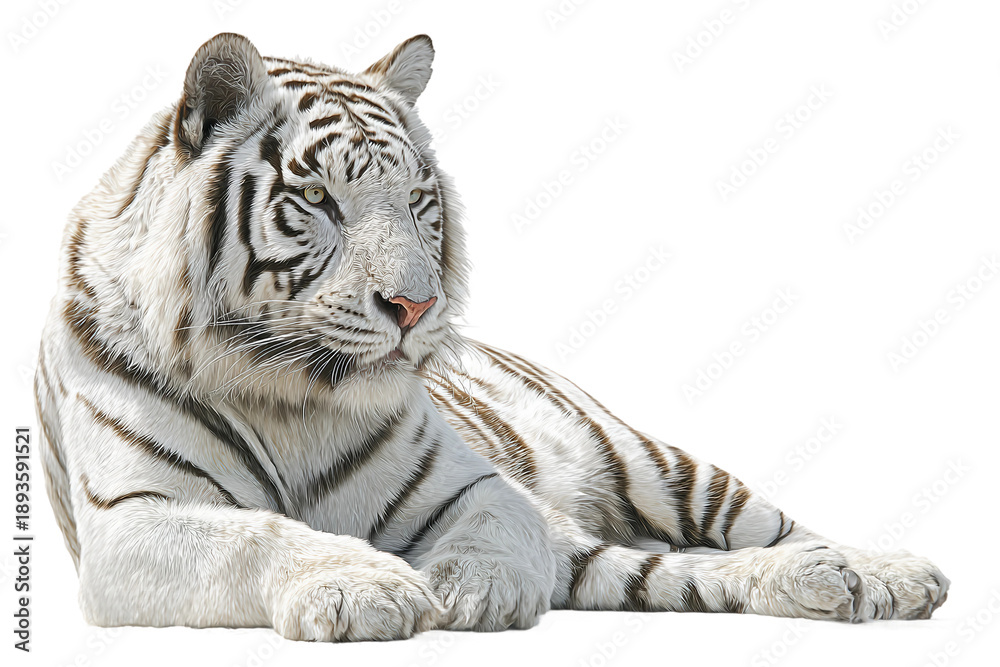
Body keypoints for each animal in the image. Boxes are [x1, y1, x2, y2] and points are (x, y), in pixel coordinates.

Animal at [34, 32, 949, 641]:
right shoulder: (134, 521)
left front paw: (474, 590)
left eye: (416, 199)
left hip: (659, 464)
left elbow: (494, 526)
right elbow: (258, 536)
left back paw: (887, 573)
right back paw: (830, 584)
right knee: (672, 573)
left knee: (779, 525)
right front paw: (362, 585)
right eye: (320, 200)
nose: (414, 305)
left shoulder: (475, 485)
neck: (291, 391)